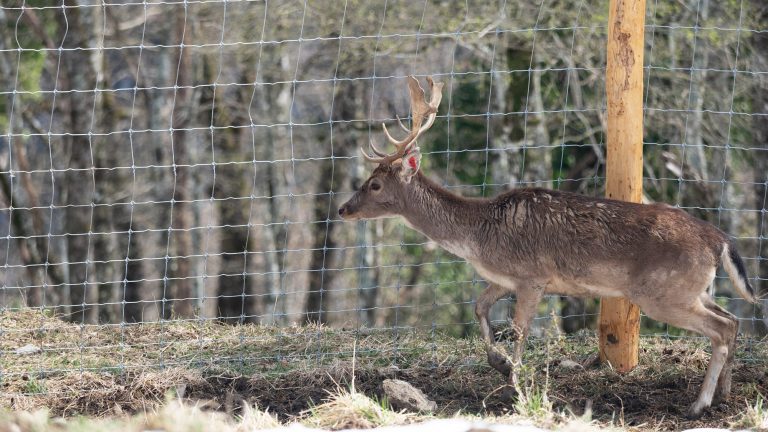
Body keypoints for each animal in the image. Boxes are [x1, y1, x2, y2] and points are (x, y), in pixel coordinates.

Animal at [340, 75, 760, 418]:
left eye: (375, 184)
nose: (343, 209)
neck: (477, 238)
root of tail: (719, 239)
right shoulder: (504, 278)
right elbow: (479, 306)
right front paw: (498, 363)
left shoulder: (532, 276)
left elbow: (521, 328)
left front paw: (515, 385)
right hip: (694, 288)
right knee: (733, 321)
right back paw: (724, 395)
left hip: (662, 291)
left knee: (721, 327)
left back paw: (698, 404)